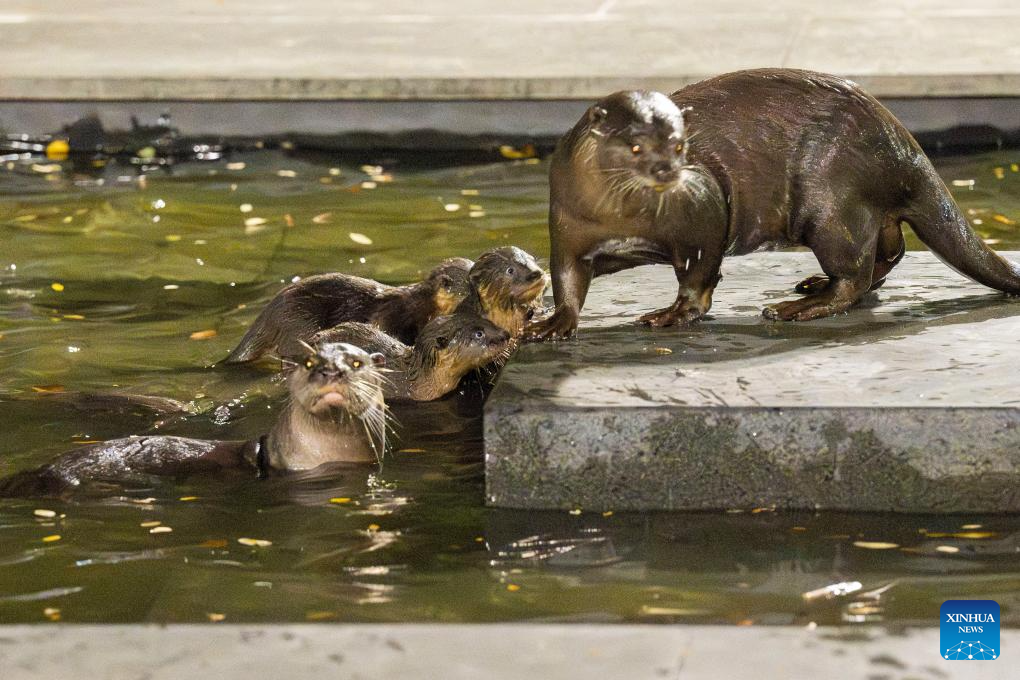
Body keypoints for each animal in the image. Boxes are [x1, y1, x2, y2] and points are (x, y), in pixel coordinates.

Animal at [530, 67, 1020, 338]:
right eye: (635, 147)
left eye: (680, 145)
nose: (669, 171)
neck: (622, 220)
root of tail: (906, 146)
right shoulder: (566, 225)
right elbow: (567, 277)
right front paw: (552, 322)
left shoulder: (705, 216)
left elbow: (699, 277)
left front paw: (673, 314)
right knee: (890, 251)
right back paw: (813, 285)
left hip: (832, 201)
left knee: (856, 274)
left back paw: (797, 306)